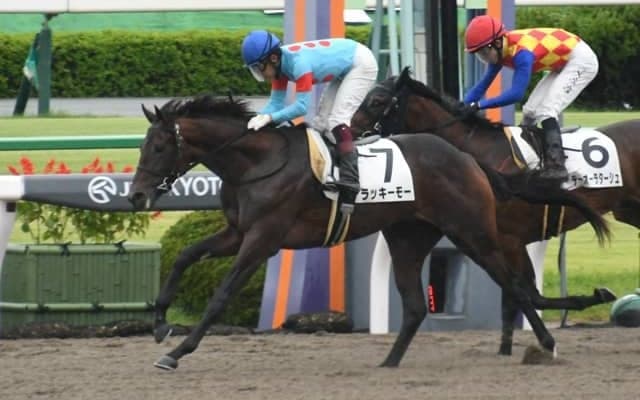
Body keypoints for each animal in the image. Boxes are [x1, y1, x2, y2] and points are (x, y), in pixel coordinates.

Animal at [128, 95, 608, 370]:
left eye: (159, 146)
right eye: (143, 146)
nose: (135, 196)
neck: (257, 164)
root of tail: (467, 158)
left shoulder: (262, 240)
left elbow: (221, 295)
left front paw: (176, 352)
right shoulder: (236, 232)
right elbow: (185, 256)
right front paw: (159, 323)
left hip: (472, 232)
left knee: (517, 287)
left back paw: (549, 340)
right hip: (408, 238)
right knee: (415, 306)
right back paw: (388, 362)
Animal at [350, 67, 635, 355]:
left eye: (377, 101)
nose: (348, 131)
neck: (480, 153)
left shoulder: (509, 240)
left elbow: (523, 292)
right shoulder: (497, 239)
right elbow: (519, 295)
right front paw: (506, 348)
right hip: (628, 210)